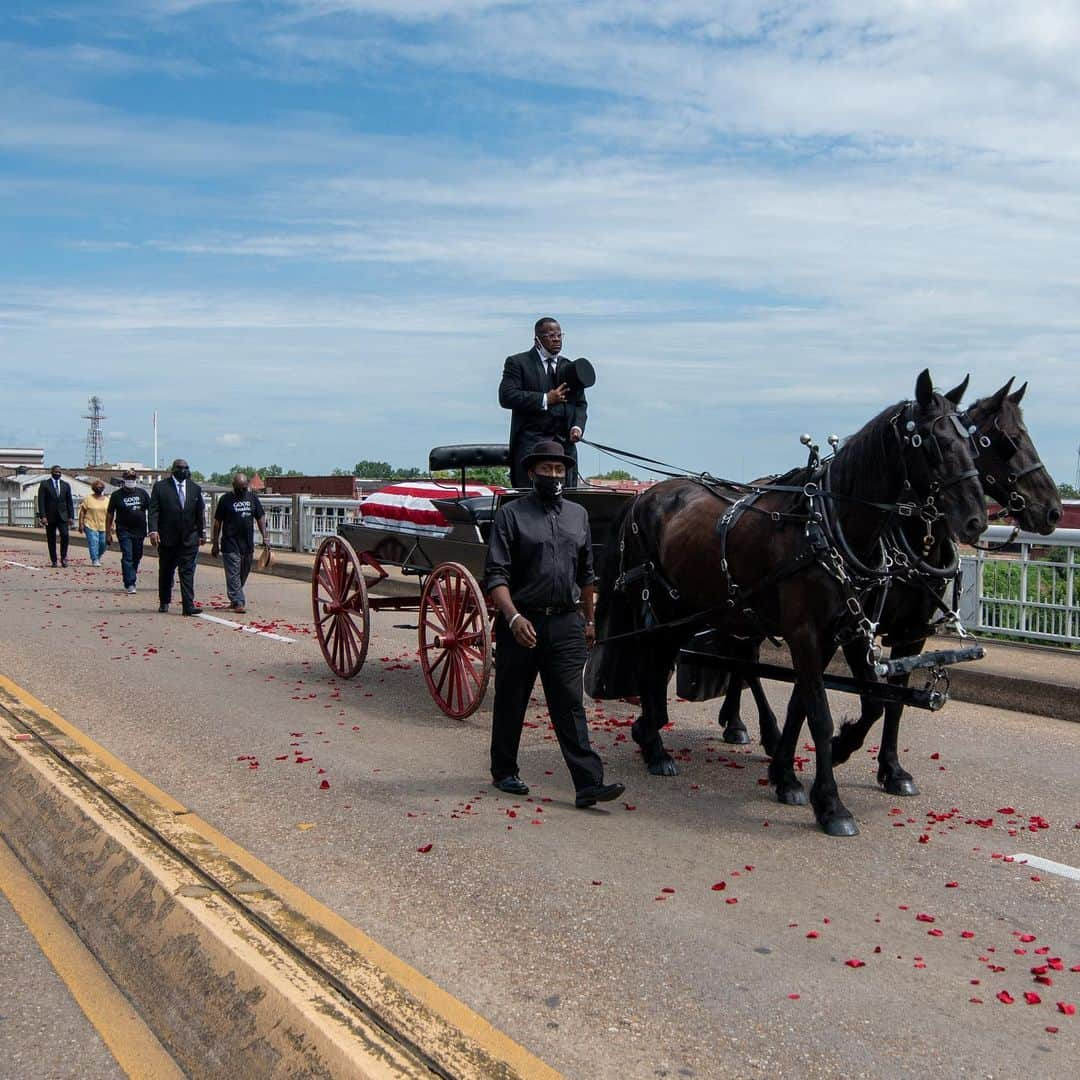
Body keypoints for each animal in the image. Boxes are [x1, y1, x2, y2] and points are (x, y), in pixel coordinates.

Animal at [591, 371, 989, 833]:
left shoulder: (847, 631)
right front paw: (830, 802)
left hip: (693, 607)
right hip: (664, 604)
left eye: (972, 442)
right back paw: (655, 745)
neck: (828, 528)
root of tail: (644, 495)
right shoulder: (807, 632)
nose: (977, 520)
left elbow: (843, 701)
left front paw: (793, 773)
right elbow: (819, 711)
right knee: (655, 659)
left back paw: (654, 733)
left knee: (679, 659)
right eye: (932, 442)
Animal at [712, 378, 1058, 794]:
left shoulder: (910, 633)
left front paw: (891, 769)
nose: (1053, 510)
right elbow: (859, 699)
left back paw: (737, 721)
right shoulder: (851, 631)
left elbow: (891, 702)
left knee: (742, 659)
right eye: (1008, 440)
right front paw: (835, 748)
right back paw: (756, 727)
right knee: (746, 662)